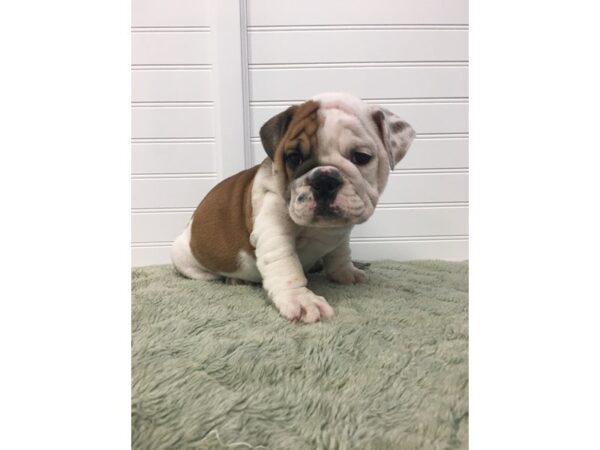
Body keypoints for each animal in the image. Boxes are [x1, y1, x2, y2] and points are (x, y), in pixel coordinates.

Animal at [169, 92, 412, 324]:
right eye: (294, 157)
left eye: (361, 157)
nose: (325, 180)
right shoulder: (274, 229)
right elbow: (285, 265)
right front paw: (301, 300)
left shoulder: (341, 233)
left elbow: (340, 253)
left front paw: (346, 273)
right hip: (189, 262)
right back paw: (234, 278)